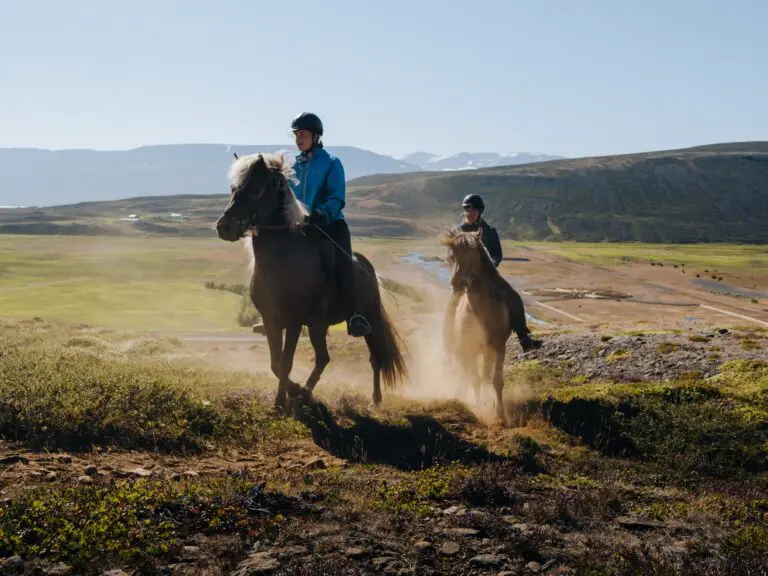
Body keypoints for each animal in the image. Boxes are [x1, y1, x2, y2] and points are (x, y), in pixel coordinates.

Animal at [215, 152, 408, 409]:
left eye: (256, 189)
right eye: (234, 188)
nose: (224, 227)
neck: (282, 257)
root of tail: (366, 266)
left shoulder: (295, 321)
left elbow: (286, 362)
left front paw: (280, 402)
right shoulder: (271, 319)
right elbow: (275, 363)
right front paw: (293, 392)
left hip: (370, 319)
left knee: (376, 358)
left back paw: (375, 400)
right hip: (318, 325)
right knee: (323, 358)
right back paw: (307, 391)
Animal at [440, 228, 539, 421]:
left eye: (471, 253)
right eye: (451, 257)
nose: (456, 284)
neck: (480, 309)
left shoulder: (498, 346)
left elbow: (496, 380)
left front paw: (499, 413)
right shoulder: (469, 348)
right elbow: (474, 379)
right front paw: (479, 408)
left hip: (488, 351)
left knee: (485, 375)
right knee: (467, 374)